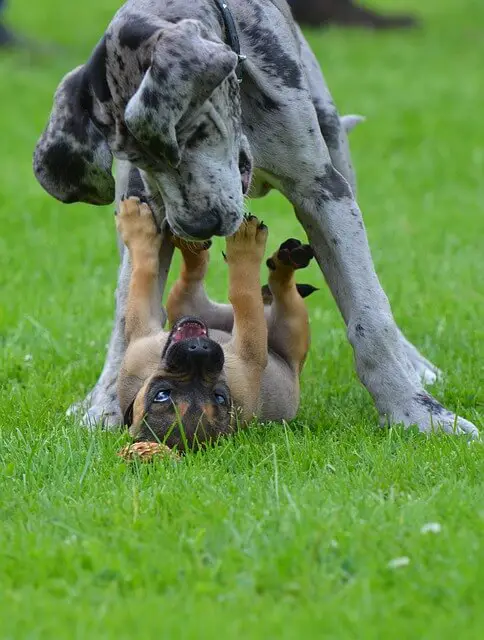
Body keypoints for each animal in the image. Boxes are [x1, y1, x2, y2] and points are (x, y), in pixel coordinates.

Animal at [116, 196, 316, 450]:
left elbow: (144, 267)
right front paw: (245, 247)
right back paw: (284, 264)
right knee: (281, 289)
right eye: (162, 395)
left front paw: (135, 224)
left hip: (183, 303)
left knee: (191, 277)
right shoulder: (251, 347)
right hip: (292, 322)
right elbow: (243, 293)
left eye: (219, 397)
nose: (199, 350)